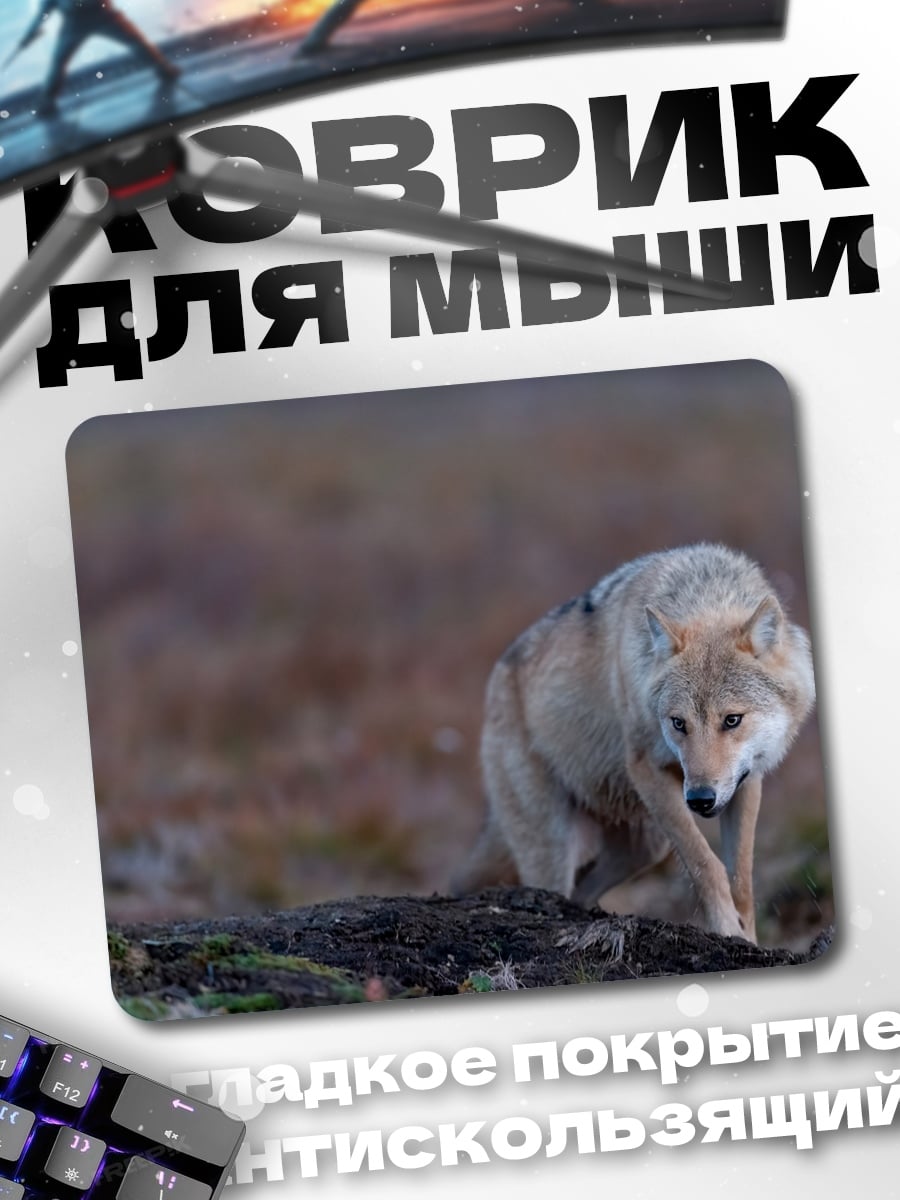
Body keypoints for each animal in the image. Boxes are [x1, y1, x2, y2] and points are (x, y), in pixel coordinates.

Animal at [451, 544, 816, 942]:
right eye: (678, 723)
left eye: (732, 720)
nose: (700, 799)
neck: (707, 595)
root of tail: (497, 674)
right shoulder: (646, 769)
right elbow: (706, 865)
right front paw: (725, 931)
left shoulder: (747, 782)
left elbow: (742, 881)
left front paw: (747, 940)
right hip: (556, 845)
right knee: (554, 888)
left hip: (645, 846)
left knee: (584, 891)